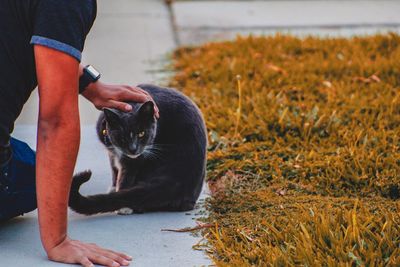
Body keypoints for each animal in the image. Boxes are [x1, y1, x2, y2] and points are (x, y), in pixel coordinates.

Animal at [68, 85, 206, 215]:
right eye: (122, 136)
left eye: (141, 133)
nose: (133, 149)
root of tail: (175, 181)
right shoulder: (112, 152)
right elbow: (114, 169)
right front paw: (113, 187)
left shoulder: (135, 159)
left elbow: (126, 176)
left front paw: (122, 206)